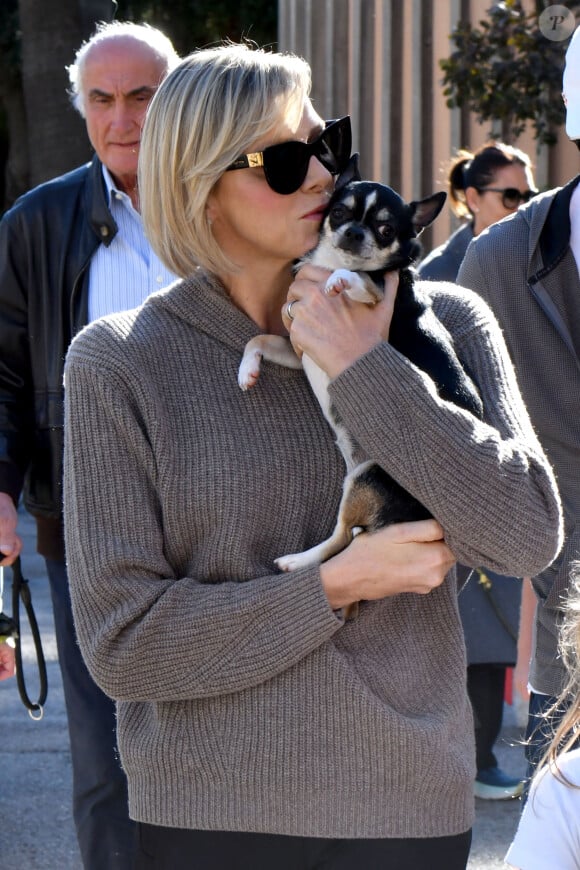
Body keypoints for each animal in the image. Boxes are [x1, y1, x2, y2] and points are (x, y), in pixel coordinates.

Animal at [238, 155, 482, 592]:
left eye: (386, 230)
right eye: (338, 212)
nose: (354, 232)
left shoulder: (377, 292)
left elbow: (360, 278)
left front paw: (340, 280)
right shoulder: (300, 348)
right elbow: (259, 338)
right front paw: (246, 371)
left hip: (368, 478)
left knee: (340, 541)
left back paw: (297, 561)